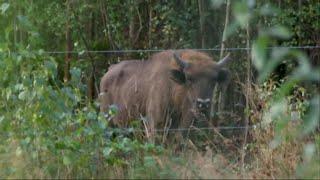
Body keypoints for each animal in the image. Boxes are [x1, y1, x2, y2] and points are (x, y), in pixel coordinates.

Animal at [99, 49, 231, 142]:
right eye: (189, 78)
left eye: (214, 80)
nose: (203, 103)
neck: (173, 86)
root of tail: (107, 73)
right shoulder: (155, 125)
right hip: (108, 123)